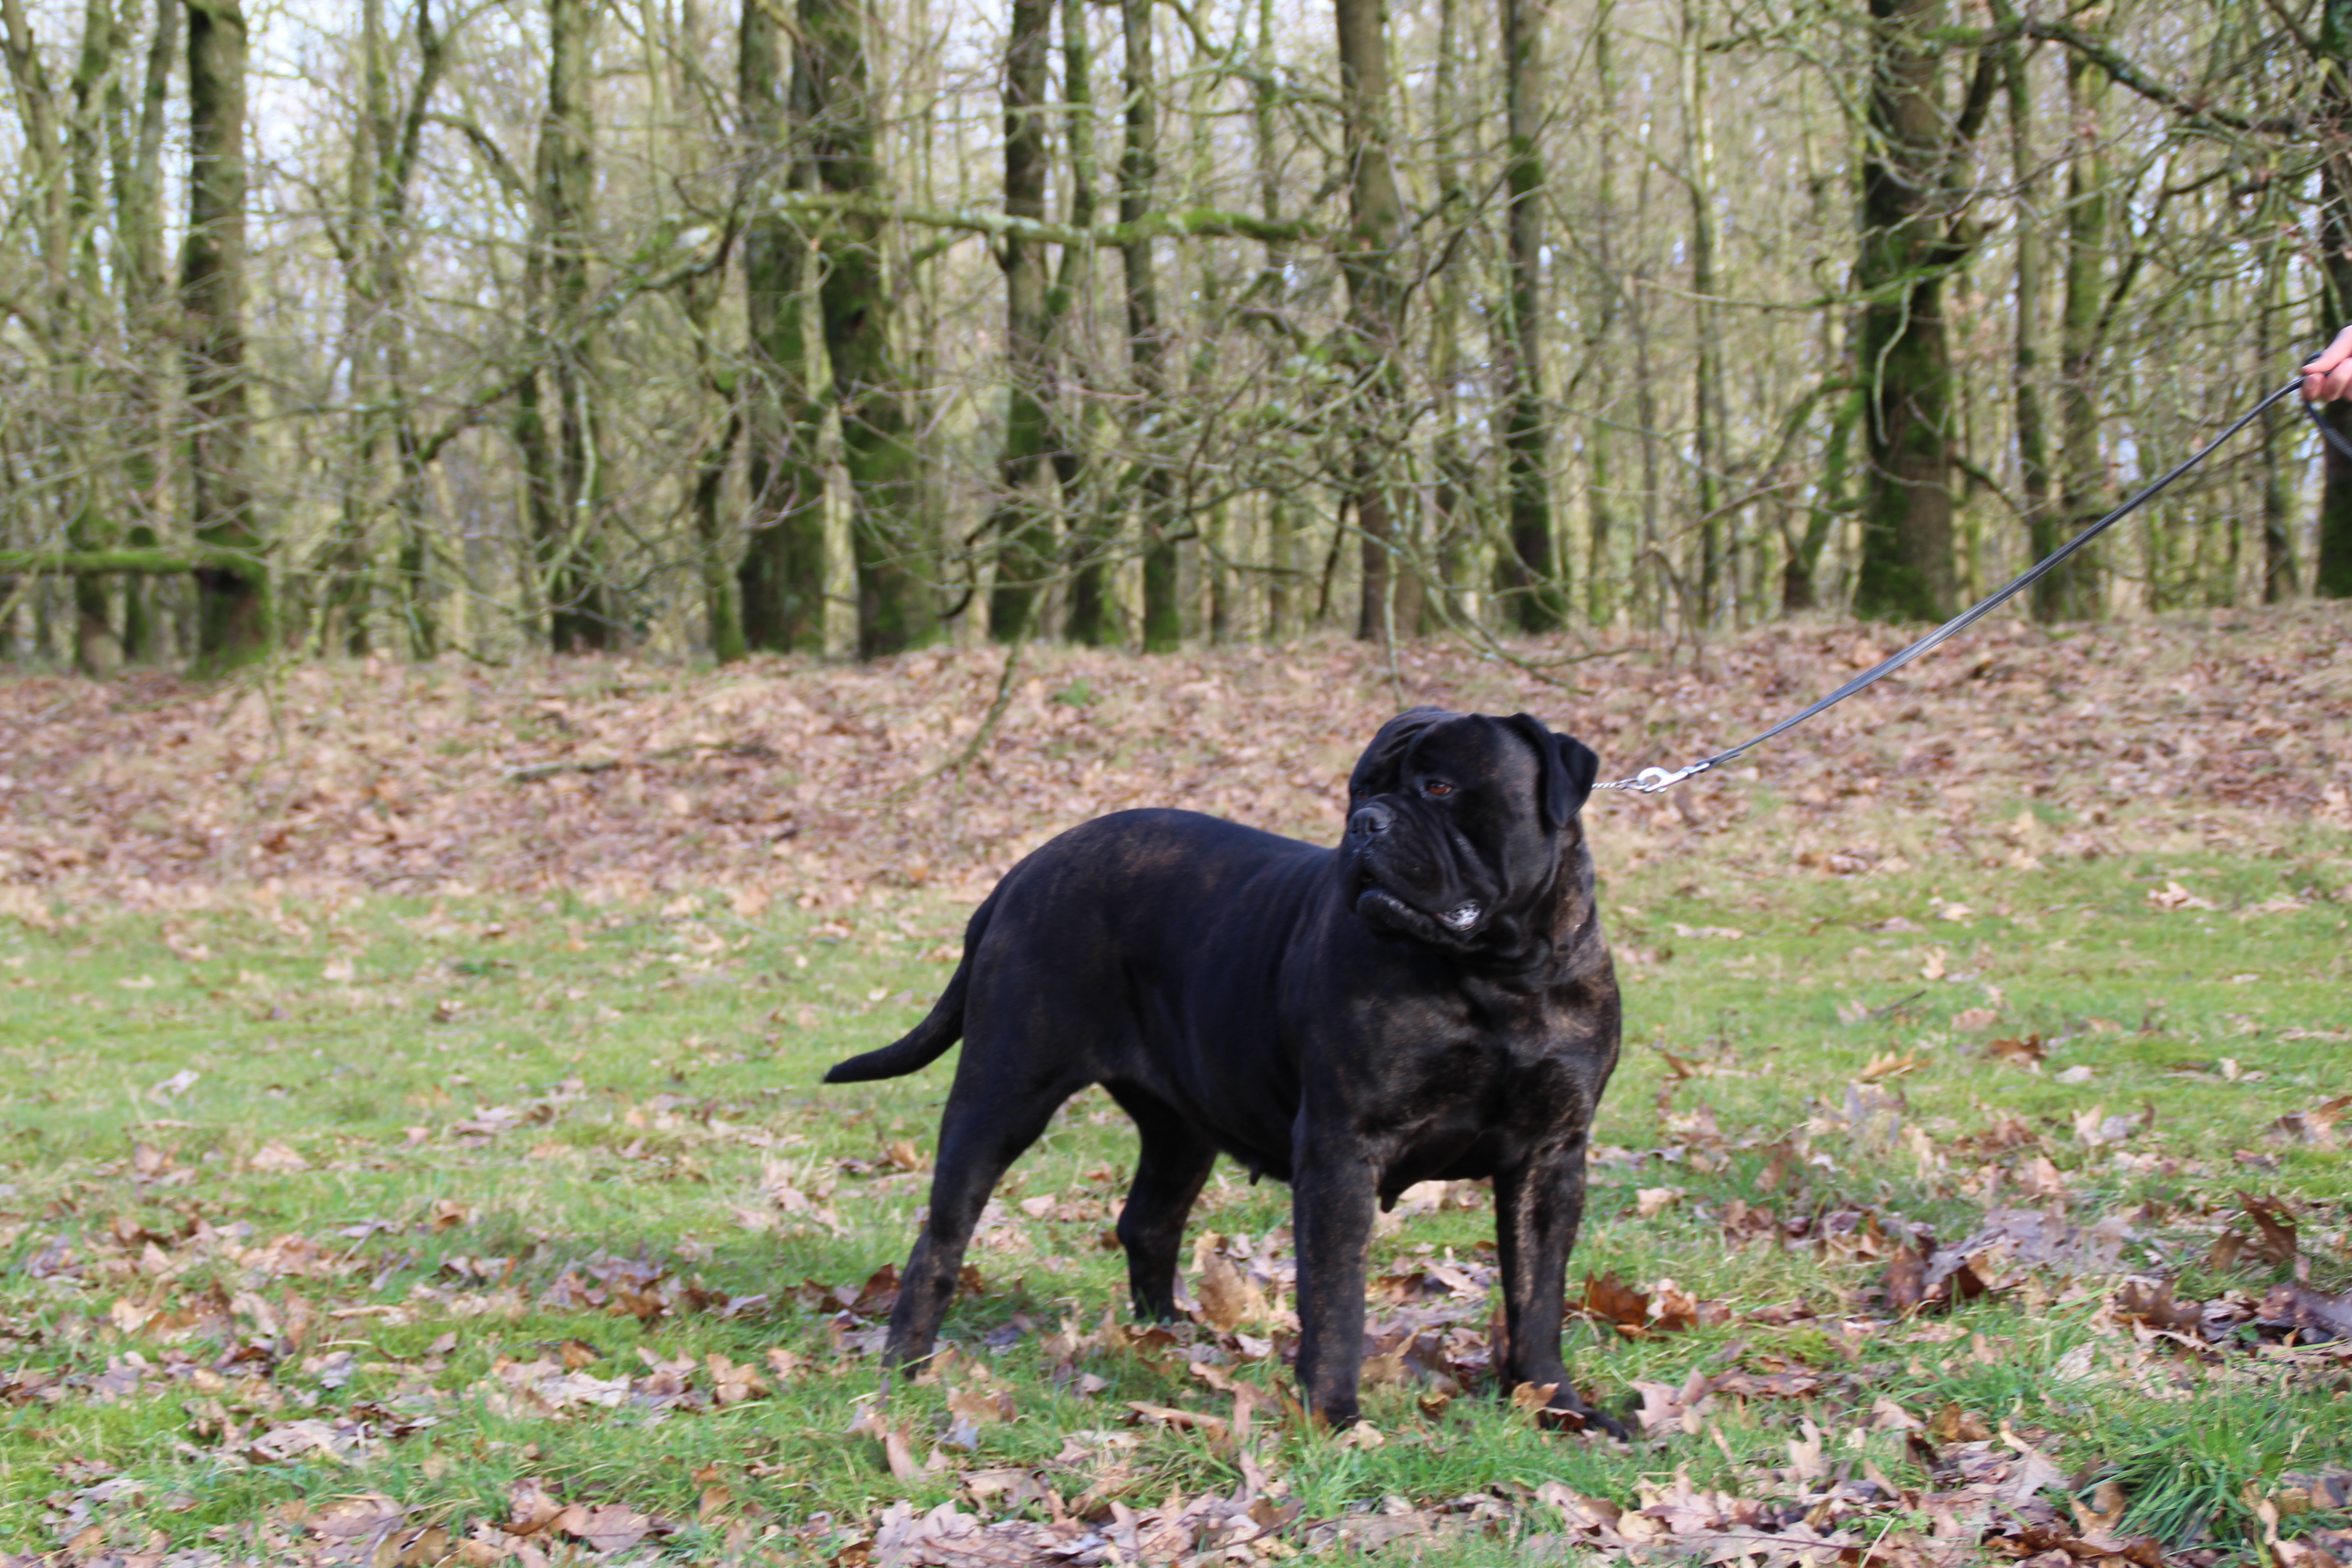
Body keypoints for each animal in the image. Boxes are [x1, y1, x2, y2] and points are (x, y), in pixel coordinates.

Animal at [823, 710, 1618, 1439]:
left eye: (1440, 786)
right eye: (1361, 789)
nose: (1365, 824)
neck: (1497, 976)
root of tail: (1025, 869)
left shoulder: (1551, 1157)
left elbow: (1538, 1295)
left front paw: (1558, 1405)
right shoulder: (1341, 1148)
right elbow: (1337, 1296)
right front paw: (1334, 1415)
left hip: (1180, 1128)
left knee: (1148, 1222)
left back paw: (1166, 1337)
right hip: (1002, 1093)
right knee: (942, 1234)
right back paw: (906, 1365)